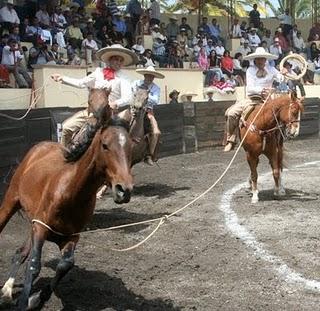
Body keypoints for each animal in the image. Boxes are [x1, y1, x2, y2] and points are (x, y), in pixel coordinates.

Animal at [0, 89, 133, 310]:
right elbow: (34, 265)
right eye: (105, 145)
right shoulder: (40, 227)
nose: (125, 190)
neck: (71, 192)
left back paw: (7, 290)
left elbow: (65, 265)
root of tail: (39, 147)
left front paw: (35, 298)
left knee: (20, 252)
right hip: (11, 200)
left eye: (131, 146)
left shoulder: (69, 236)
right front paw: (25, 301)